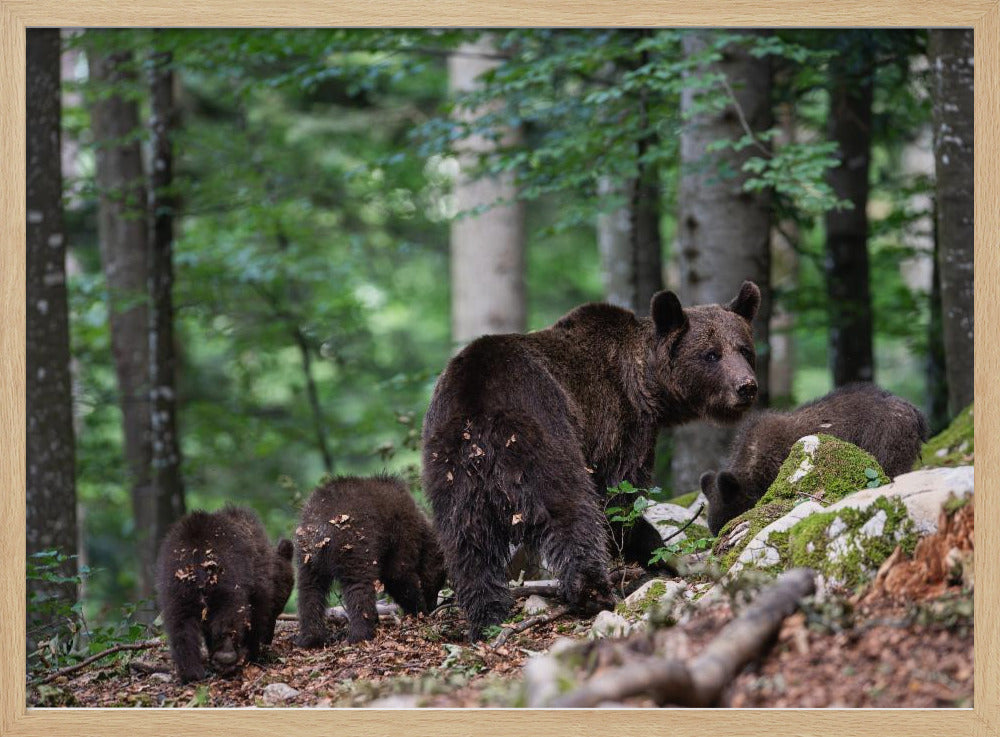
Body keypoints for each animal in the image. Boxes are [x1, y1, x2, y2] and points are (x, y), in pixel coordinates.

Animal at [156, 506, 294, 683]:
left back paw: (191, 671)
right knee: (229, 613)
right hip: (226, 578)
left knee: (180, 625)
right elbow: (255, 615)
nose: (268, 639)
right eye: (278, 608)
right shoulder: (258, 584)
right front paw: (253, 652)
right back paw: (226, 655)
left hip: (176, 587)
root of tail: (196, 554)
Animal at [293, 475, 447, 646]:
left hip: (307, 557)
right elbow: (398, 575)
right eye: (440, 581)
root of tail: (320, 529)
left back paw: (310, 638)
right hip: (353, 545)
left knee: (309, 590)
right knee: (359, 587)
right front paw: (418, 610)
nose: (433, 606)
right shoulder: (401, 533)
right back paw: (361, 633)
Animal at [421, 281, 762, 640]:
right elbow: (620, 499)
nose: (746, 387)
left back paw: (485, 615)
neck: (648, 386)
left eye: (744, 350)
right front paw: (656, 553)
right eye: (711, 354)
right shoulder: (619, 425)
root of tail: (477, 406)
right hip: (541, 429)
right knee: (569, 508)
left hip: (450, 465)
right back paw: (593, 592)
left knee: (466, 541)